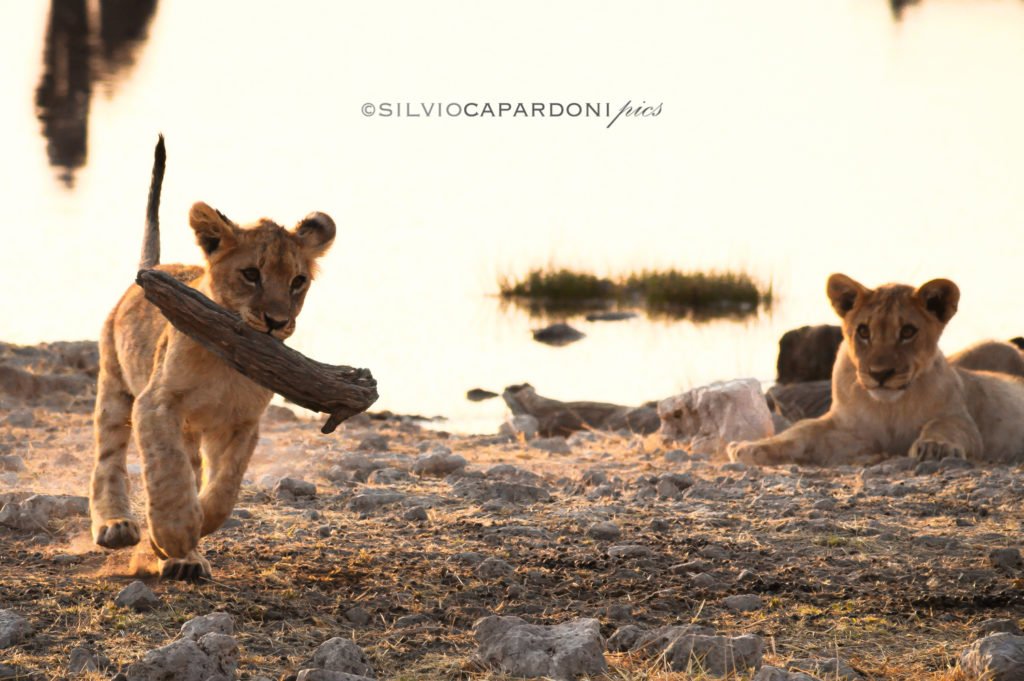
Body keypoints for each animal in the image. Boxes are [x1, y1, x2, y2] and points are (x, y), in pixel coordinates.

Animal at [90, 136, 335, 580]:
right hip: (115, 384)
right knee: (108, 457)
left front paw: (185, 537)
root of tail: (154, 267)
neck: (229, 362)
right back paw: (116, 525)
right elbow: (169, 474)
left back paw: (185, 561)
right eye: (251, 274)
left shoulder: (242, 422)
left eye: (298, 281)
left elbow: (224, 490)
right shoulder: (157, 402)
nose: (276, 322)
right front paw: (171, 535)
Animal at [727, 273, 1024, 466]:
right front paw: (749, 447)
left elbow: (943, 424)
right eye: (863, 332)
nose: (880, 374)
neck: (889, 408)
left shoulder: (962, 418)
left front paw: (935, 447)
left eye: (907, 332)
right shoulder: (851, 431)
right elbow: (801, 431)